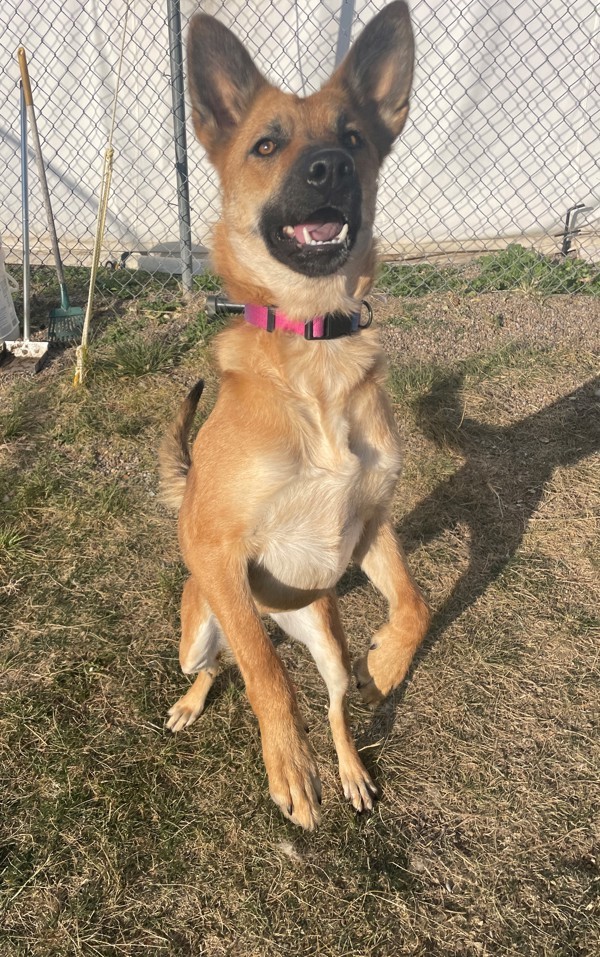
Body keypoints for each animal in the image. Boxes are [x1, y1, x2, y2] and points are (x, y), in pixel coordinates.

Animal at [159, 1, 428, 828]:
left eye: (355, 138)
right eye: (267, 144)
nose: (329, 169)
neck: (315, 353)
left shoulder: (369, 521)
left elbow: (416, 602)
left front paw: (389, 660)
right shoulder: (214, 546)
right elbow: (265, 676)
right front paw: (287, 763)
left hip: (322, 632)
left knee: (332, 696)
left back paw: (350, 768)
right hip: (200, 623)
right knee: (224, 661)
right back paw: (196, 701)